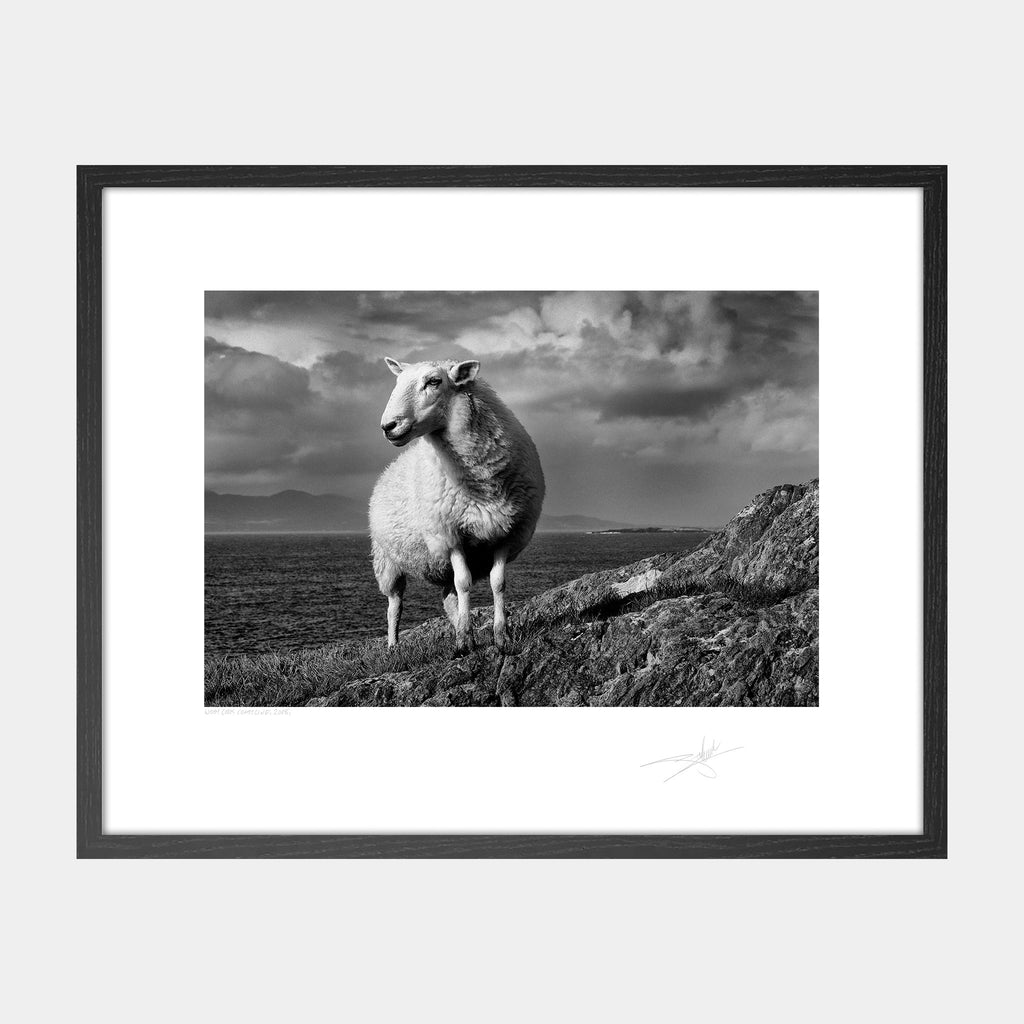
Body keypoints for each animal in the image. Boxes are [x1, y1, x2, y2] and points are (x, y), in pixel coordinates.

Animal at [369, 357, 545, 654]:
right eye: (397, 382)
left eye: (434, 381)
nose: (388, 426)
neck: (482, 484)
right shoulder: (450, 536)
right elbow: (463, 584)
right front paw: (464, 643)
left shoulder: (505, 533)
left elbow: (498, 584)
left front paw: (501, 637)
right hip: (387, 561)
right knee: (395, 605)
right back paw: (393, 646)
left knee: (447, 597)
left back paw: (458, 625)